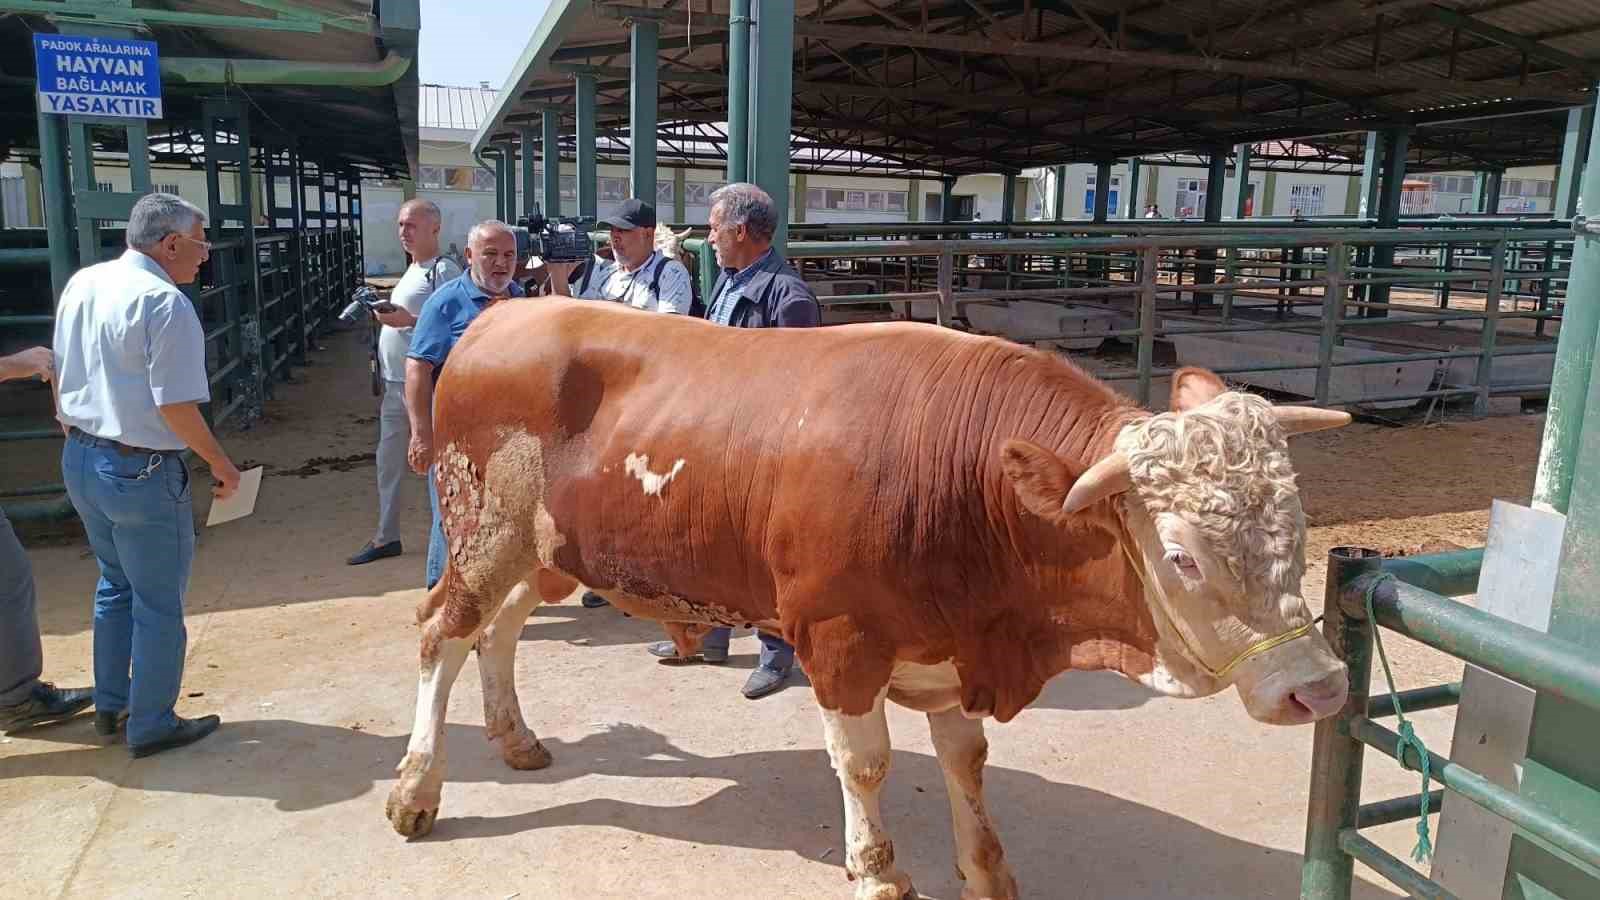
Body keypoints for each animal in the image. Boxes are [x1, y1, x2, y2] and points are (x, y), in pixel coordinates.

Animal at [387, 299, 1350, 896]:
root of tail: (504, 312)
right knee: (444, 631)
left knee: (500, 633)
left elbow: (966, 760)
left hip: (544, 551)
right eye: (1181, 557)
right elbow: (866, 763)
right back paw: (416, 788)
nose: (1321, 687)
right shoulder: (839, 638)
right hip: (483, 530)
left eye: (1299, 525)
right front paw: (879, 870)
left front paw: (987, 871)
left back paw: (515, 738)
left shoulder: (949, 643)